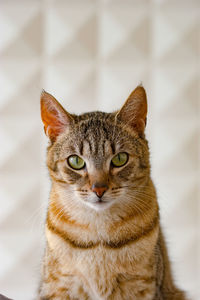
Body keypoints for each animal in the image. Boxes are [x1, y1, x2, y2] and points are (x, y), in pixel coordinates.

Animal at [38, 85, 188, 298]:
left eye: (120, 159)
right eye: (76, 161)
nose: (99, 189)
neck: (99, 238)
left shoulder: (143, 287)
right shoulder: (58, 287)